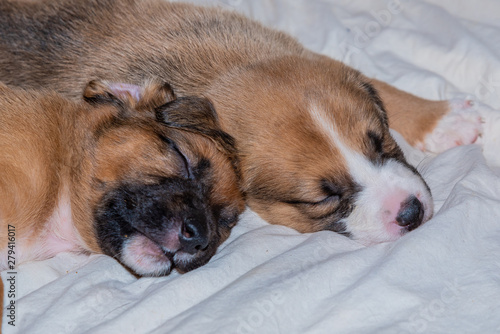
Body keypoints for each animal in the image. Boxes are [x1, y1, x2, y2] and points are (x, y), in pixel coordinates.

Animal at [0, 0, 482, 245]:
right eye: (321, 198)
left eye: (382, 142)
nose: (412, 211)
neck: (228, 69)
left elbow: (380, 82)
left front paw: (442, 119)